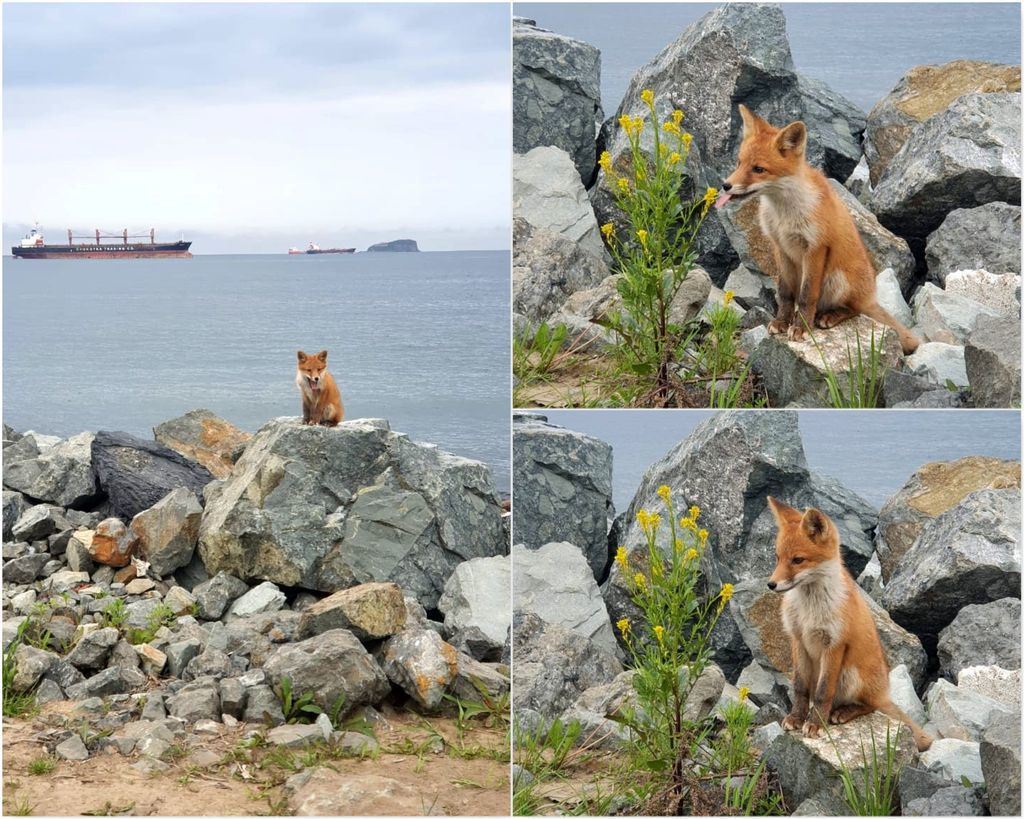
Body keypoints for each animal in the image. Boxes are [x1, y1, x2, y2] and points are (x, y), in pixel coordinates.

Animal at [720, 105, 921, 354]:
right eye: (739, 163)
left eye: (758, 169)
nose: (725, 185)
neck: (784, 214)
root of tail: (871, 294)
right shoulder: (780, 246)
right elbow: (785, 293)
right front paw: (782, 321)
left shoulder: (815, 248)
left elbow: (807, 296)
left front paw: (800, 328)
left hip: (837, 278)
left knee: (854, 309)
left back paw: (829, 316)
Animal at [765, 495, 933, 753]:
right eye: (777, 557)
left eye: (798, 560)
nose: (771, 584)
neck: (809, 611)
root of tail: (884, 691)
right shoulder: (798, 639)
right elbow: (800, 689)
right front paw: (797, 718)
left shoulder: (834, 644)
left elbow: (823, 693)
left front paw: (816, 724)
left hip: (851, 674)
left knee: (869, 705)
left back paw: (843, 712)